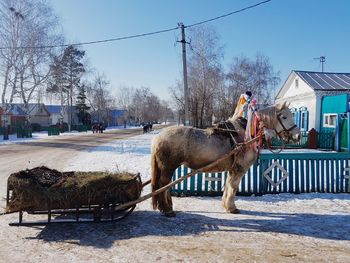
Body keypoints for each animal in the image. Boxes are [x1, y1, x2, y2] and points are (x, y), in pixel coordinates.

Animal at [150, 102, 300, 218]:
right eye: (284, 116)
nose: (297, 135)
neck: (247, 136)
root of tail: (158, 137)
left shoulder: (232, 169)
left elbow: (228, 185)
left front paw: (226, 205)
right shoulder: (239, 168)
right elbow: (234, 187)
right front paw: (232, 207)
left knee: (165, 186)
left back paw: (167, 207)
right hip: (168, 167)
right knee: (163, 185)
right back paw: (167, 209)